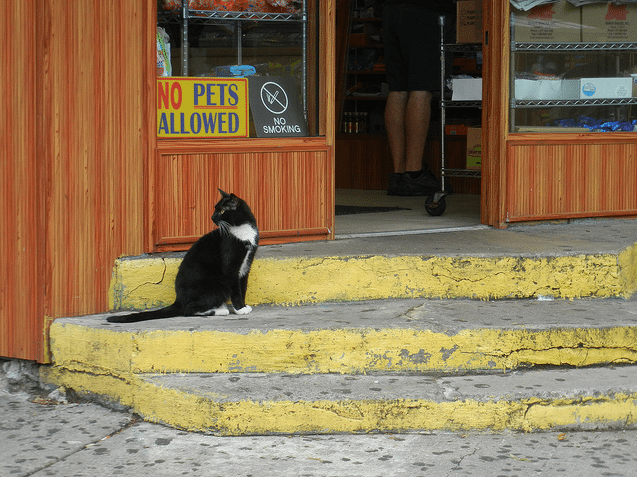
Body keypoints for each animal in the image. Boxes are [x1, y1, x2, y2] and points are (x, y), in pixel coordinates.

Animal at [107, 190, 258, 324]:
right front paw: (240, 309)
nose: (212, 217)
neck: (241, 230)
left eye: (221, 211)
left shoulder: (245, 265)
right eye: (215, 209)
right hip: (218, 285)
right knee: (188, 309)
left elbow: (242, 287)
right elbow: (236, 289)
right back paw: (220, 310)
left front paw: (243, 306)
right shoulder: (230, 265)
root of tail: (179, 299)